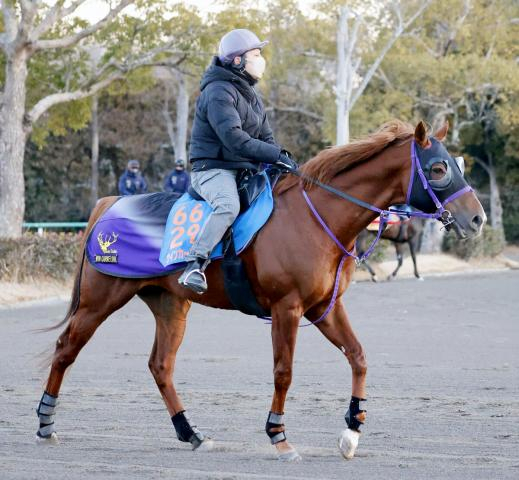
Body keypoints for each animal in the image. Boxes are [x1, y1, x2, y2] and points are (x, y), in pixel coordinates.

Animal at [36, 120, 488, 462]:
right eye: (439, 168)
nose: (478, 218)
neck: (316, 217)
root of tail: (108, 205)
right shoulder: (287, 308)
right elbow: (283, 372)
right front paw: (279, 436)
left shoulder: (325, 306)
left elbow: (358, 357)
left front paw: (352, 431)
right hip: (101, 300)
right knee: (65, 349)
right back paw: (45, 423)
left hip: (170, 306)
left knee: (161, 366)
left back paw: (191, 433)